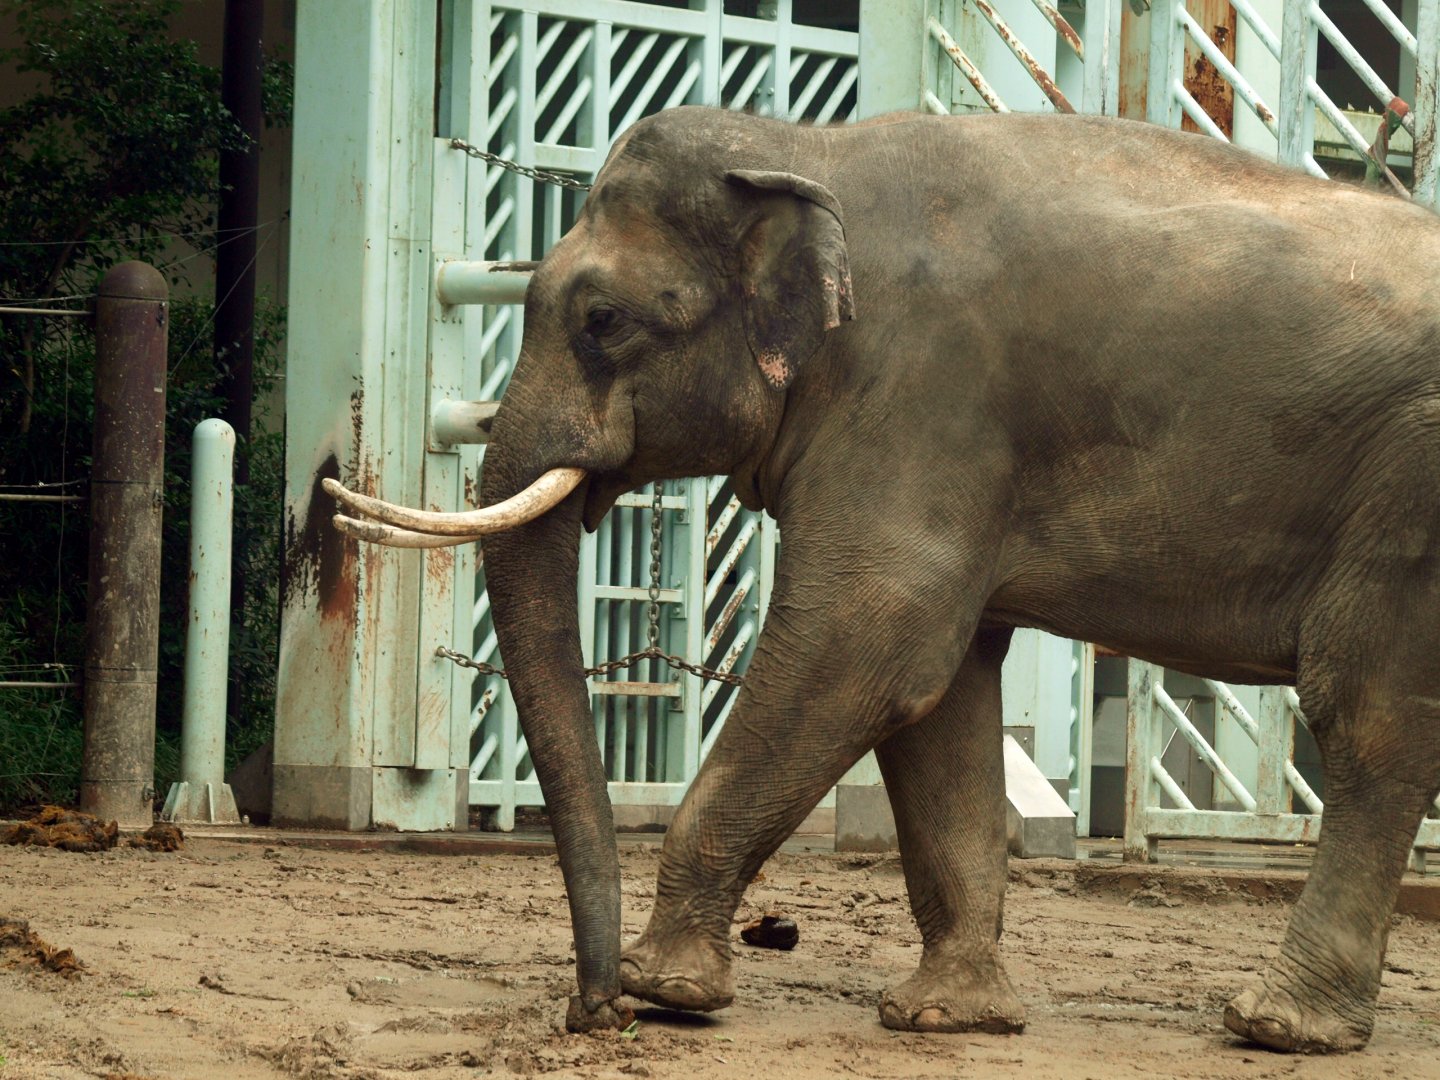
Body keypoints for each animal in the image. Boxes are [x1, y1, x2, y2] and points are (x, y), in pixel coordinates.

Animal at [325, 106, 1440, 1053]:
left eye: (603, 319)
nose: (592, 1010)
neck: (803, 151)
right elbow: (936, 698)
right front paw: (947, 1017)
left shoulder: (919, 397)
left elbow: (868, 640)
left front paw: (668, 989)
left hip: (1411, 485)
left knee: (1369, 719)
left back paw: (1276, 1026)